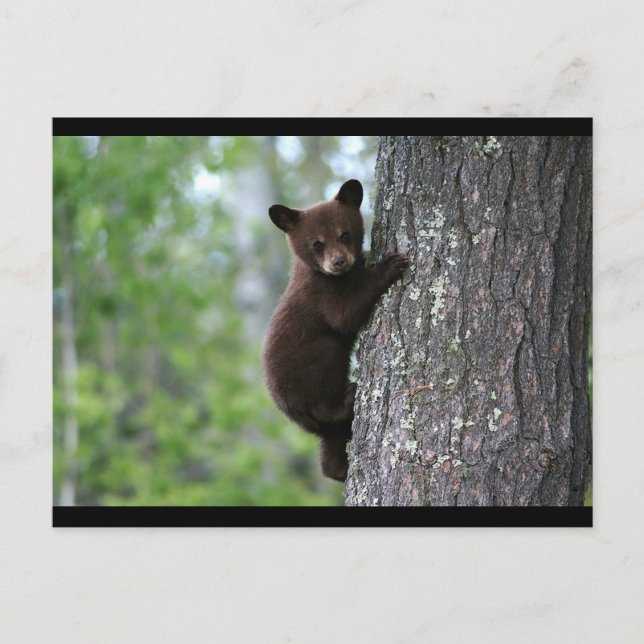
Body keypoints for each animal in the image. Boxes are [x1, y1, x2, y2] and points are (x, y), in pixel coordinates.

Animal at [262, 179, 410, 481]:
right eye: (317, 243)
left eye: (345, 234)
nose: (339, 261)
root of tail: (293, 414)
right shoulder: (321, 295)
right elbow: (345, 315)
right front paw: (389, 265)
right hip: (313, 368)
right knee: (325, 394)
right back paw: (348, 398)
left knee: (331, 448)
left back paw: (339, 469)